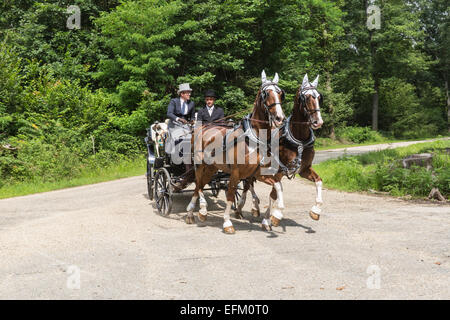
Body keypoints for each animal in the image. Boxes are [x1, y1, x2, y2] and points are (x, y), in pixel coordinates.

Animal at [185, 70, 284, 232]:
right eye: (266, 93)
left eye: (280, 93)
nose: (280, 117)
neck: (253, 139)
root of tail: (202, 128)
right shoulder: (236, 173)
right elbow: (231, 195)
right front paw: (227, 222)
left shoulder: (257, 173)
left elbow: (277, 186)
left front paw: (275, 215)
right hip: (199, 166)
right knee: (198, 185)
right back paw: (202, 210)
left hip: (211, 168)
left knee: (200, 185)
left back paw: (192, 214)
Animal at [236, 74, 324, 230]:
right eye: (306, 97)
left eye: (319, 97)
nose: (317, 122)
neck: (298, 140)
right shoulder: (277, 172)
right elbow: (274, 193)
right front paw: (273, 217)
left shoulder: (304, 169)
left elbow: (319, 181)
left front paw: (316, 210)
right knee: (247, 184)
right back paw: (245, 207)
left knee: (249, 183)